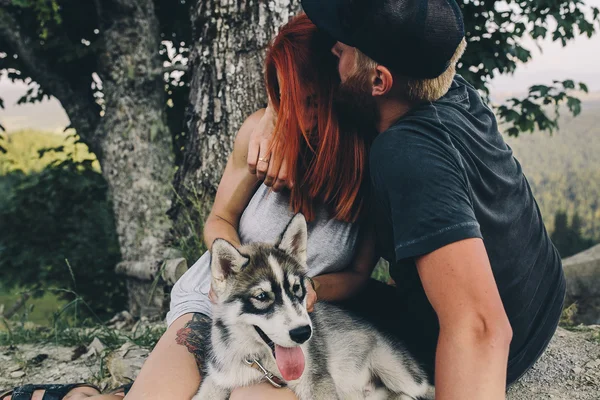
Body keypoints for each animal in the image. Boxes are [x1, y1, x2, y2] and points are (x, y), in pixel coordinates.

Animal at [195, 214, 434, 400]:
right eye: (262, 296)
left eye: (297, 288)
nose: (303, 333)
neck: (261, 361)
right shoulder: (221, 376)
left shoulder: (317, 381)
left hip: (398, 371)